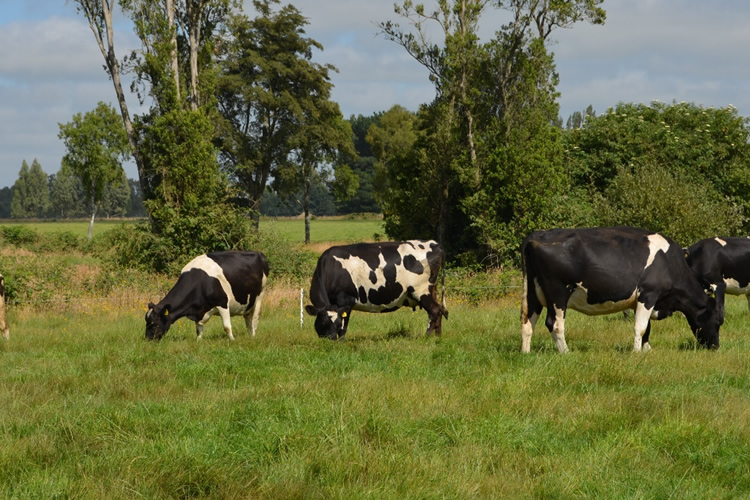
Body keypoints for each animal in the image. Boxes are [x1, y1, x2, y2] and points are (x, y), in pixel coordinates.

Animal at [304, 239, 446, 340]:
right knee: (439, 310)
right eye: (323, 323)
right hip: (431, 290)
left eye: (337, 323)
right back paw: (437, 337)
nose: (331, 341)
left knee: (434, 310)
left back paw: (427, 337)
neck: (331, 268)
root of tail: (434, 244)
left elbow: (344, 327)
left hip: (421, 290)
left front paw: (341, 342)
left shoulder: (346, 301)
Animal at [524, 227, 724, 352]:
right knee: (555, 324)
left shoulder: (640, 300)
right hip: (558, 294)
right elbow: (641, 327)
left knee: (528, 321)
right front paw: (636, 352)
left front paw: (646, 349)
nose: (715, 347)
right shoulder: (648, 294)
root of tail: (537, 236)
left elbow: (647, 327)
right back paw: (566, 352)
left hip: (532, 293)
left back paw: (526, 352)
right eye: (717, 322)